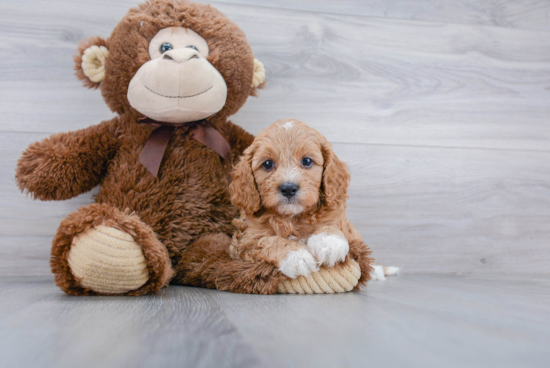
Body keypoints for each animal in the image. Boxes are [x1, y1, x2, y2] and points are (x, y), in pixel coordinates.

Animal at [229, 118, 376, 282]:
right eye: (267, 164)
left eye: (307, 161)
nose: (288, 188)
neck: (293, 217)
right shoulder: (243, 242)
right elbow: (267, 240)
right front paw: (296, 256)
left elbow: (333, 224)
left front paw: (329, 241)